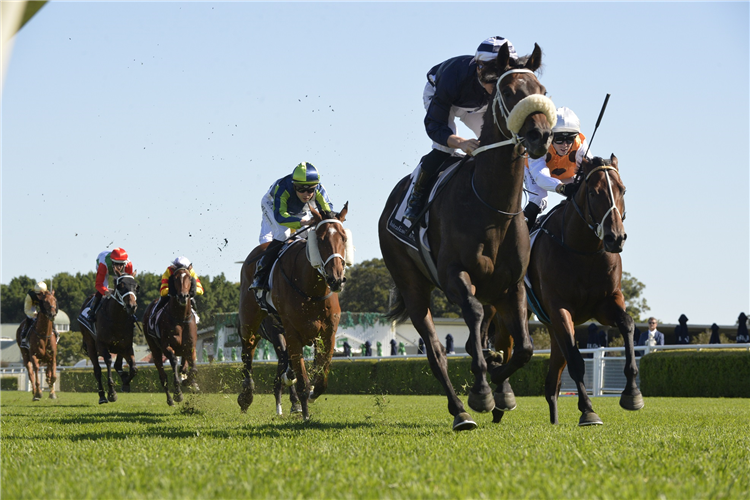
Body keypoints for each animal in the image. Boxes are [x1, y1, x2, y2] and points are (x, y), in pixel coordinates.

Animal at [81, 272, 141, 404]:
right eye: (121, 286)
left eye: (136, 287)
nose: (132, 306)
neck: (116, 319)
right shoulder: (101, 345)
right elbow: (108, 361)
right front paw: (112, 392)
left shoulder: (126, 346)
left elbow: (133, 368)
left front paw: (125, 383)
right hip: (90, 344)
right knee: (97, 371)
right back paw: (102, 396)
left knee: (117, 365)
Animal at [143, 268, 200, 404]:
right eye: (175, 278)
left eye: (189, 278)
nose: (183, 296)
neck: (180, 318)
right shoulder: (167, 347)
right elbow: (174, 362)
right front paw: (178, 393)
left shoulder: (191, 347)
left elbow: (193, 369)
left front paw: (189, 382)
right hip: (155, 350)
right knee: (163, 376)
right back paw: (170, 400)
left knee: (184, 366)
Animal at [239, 202, 352, 418]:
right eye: (321, 239)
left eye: (343, 237)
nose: (336, 279)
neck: (311, 289)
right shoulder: (292, 333)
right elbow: (301, 379)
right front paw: (305, 412)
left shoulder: (327, 333)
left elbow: (321, 376)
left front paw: (312, 393)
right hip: (250, 318)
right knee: (247, 350)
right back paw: (246, 396)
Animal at [378, 43, 556, 430]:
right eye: (510, 92)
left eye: (543, 91)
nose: (540, 136)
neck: (492, 207)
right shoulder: (454, 275)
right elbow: (471, 322)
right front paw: (482, 392)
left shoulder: (512, 285)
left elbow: (523, 347)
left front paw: (499, 386)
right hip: (412, 286)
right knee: (436, 352)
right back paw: (460, 411)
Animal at [490, 154, 644, 424]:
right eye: (594, 192)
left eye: (622, 189)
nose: (616, 238)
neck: (583, 250)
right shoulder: (560, 308)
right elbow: (575, 360)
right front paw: (588, 410)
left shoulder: (606, 302)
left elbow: (627, 324)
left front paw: (632, 394)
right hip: (511, 311)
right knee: (506, 347)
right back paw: (501, 396)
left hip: (552, 327)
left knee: (552, 380)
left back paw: (551, 418)